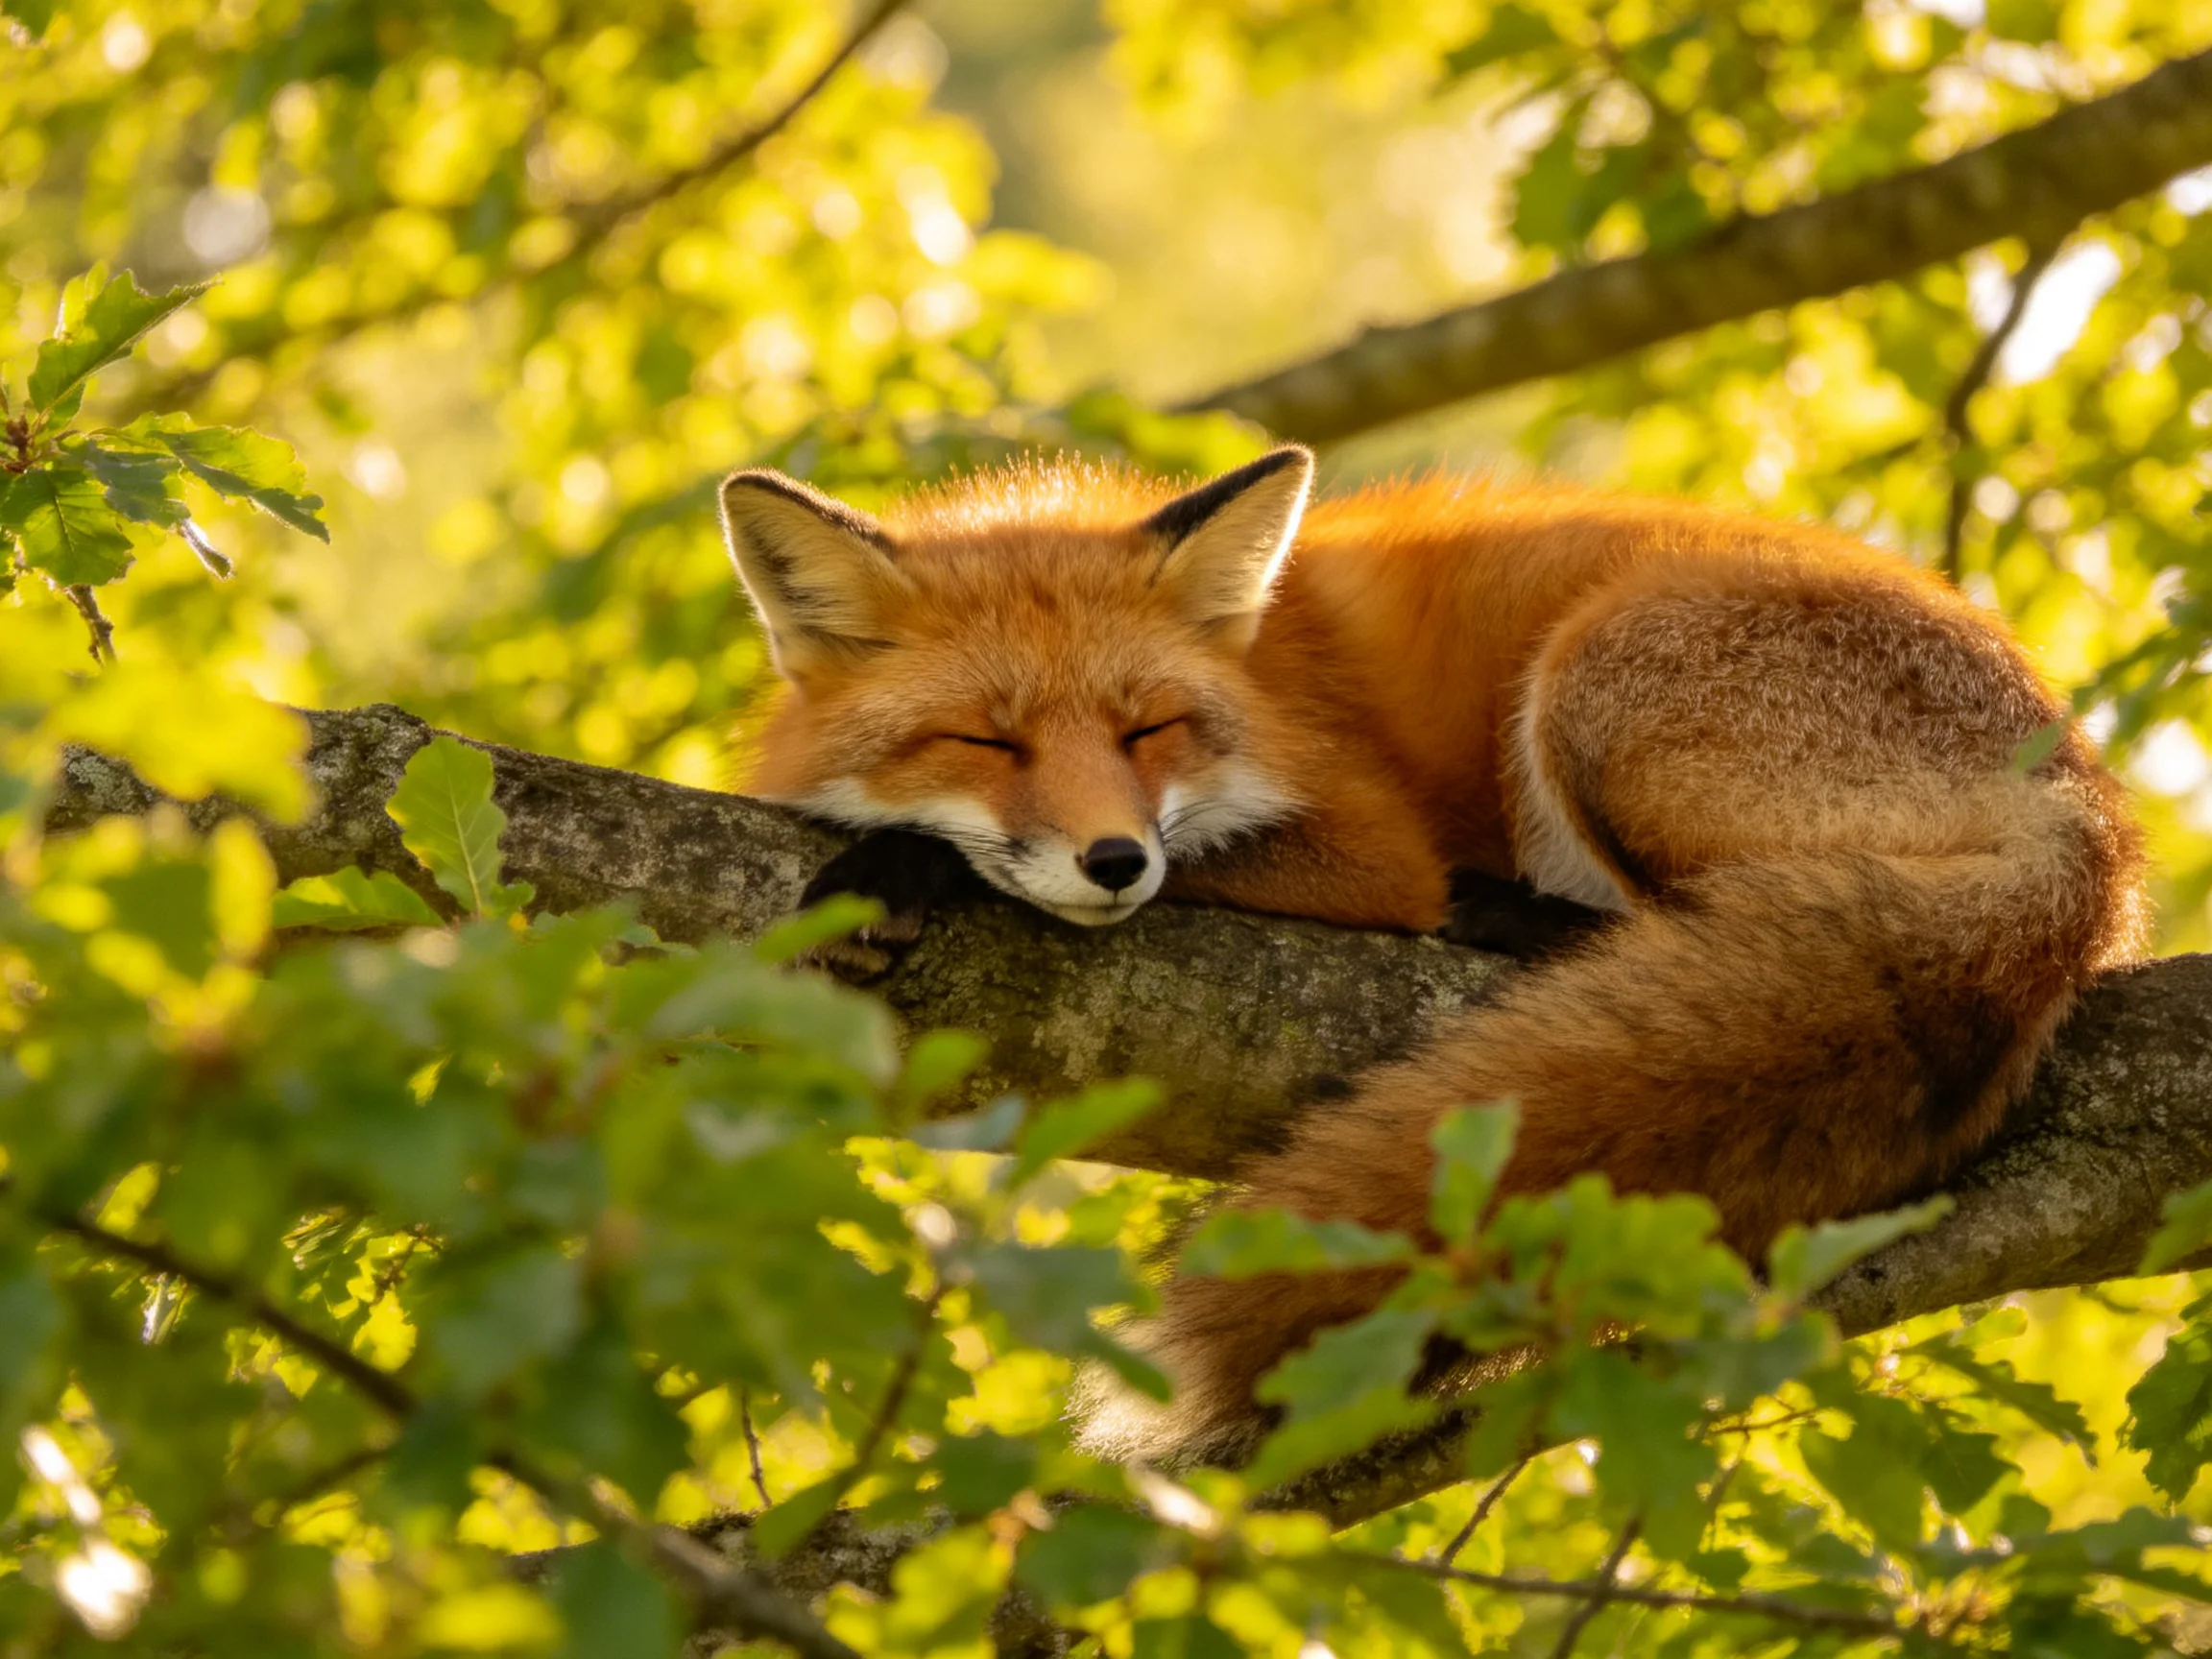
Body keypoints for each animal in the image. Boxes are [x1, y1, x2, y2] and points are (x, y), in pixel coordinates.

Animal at [715, 445, 2148, 1465]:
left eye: (1147, 730)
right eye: (988, 743)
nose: (1116, 861)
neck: (1263, 686)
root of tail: (2092, 830)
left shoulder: (1368, 849)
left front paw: (901, 866)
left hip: (1594, 678)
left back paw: (1518, 916)